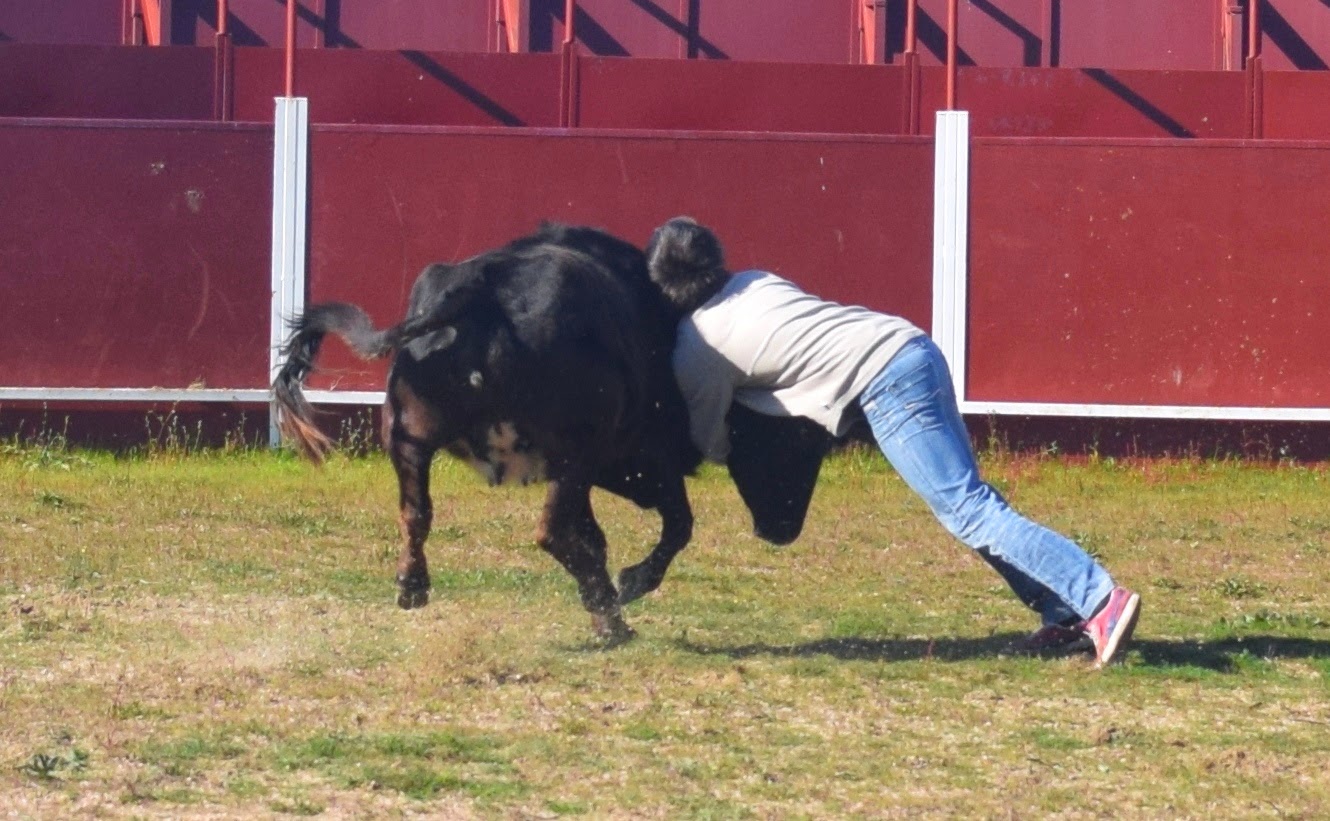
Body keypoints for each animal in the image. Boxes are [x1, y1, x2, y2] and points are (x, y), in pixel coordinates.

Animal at [272, 223, 833, 642]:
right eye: (798, 445)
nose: (784, 529)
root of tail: (484, 288)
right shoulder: (644, 460)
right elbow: (676, 524)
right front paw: (629, 584)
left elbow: (600, 536)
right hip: (573, 454)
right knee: (551, 531)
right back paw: (612, 616)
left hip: (408, 436)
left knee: (416, 513)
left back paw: (413, 586)